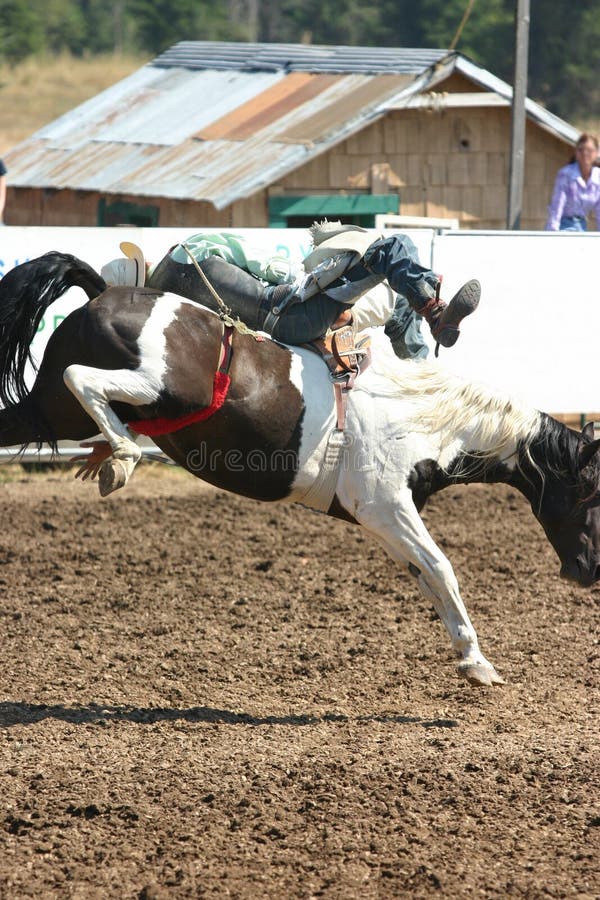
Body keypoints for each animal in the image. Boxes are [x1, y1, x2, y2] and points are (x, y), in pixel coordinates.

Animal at [1, 253, 600, 688]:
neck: (425, 417)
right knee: (85, 378)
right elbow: (442, 567)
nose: (588, 571)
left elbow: (427, 576)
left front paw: (472, 658)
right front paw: (479, 662)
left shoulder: (387, 522)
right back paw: (120, 458)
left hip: (48, 407)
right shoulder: (386, 506)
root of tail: (104, 291)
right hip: (156, 388)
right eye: (590, 496)